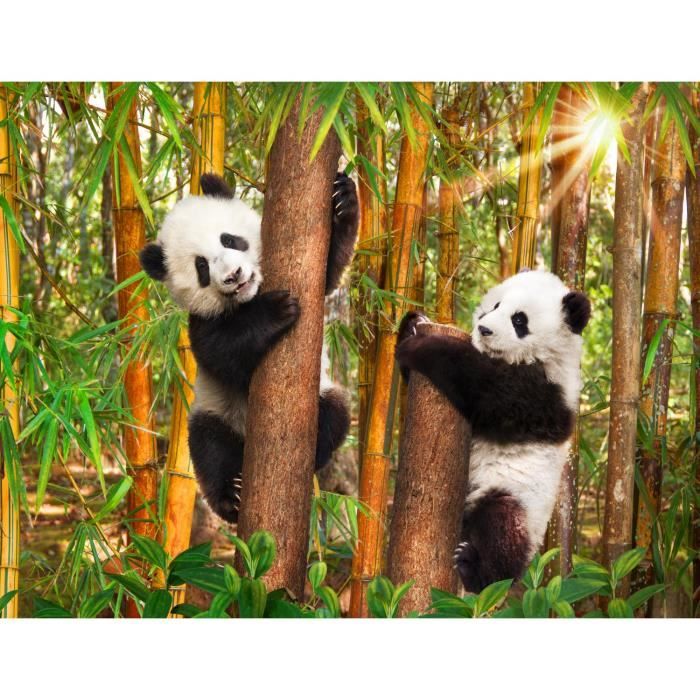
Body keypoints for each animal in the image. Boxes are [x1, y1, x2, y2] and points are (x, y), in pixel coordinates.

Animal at [139, 172, 359, 523]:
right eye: (202, 267)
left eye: (229, 240)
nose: (234, 274)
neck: (248, 297)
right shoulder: (201, 323)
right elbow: (223, 353)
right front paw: (276, 310)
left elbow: (328, 269)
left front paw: (343, 196)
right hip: (214, 411)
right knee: (210, 449)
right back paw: (232, 497)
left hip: (322, 394)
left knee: (335, 414)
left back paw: (312, 453)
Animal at [395, 269, 591, 593]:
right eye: (496, 305)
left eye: (519, 320)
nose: (484, 329)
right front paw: (413, 322)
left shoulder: (541, 394)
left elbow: (481, 385)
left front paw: (424, 344)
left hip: (516, 499)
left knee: (502, 526)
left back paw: (476, 570)